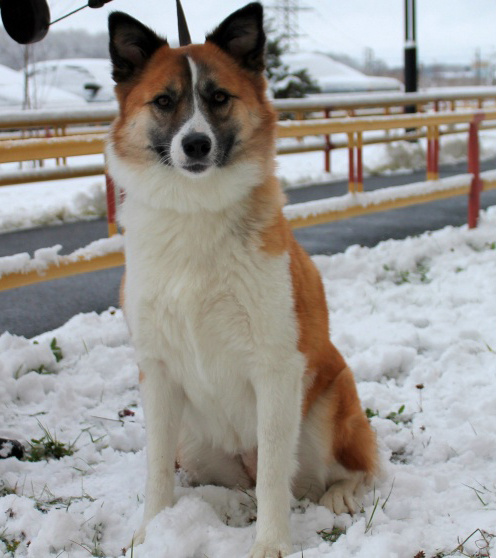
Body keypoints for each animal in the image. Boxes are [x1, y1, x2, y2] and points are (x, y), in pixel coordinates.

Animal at [105, 5, 376, 558]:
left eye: (218, 97)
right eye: (164, 101)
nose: (195, 143)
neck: (195, 211)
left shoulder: (276, 370)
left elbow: (274, 471)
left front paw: (271, 544)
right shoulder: (156, 372)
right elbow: (156, 467)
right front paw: (151, 532)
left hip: (329, 405)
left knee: (352, 466)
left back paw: (339, 494)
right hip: (194, 440)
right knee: (225, 482)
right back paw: (229, 505)